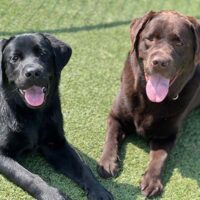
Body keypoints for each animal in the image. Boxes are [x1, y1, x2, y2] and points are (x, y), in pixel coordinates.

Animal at [0, 33, 113, 200]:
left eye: (43, 53)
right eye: (14, 58)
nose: (33, 72)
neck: (32, 114)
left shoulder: (56, 143)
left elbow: (83, 167)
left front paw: (100, 191)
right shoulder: (3, 153)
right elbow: (29, 177)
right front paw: (53, 194)